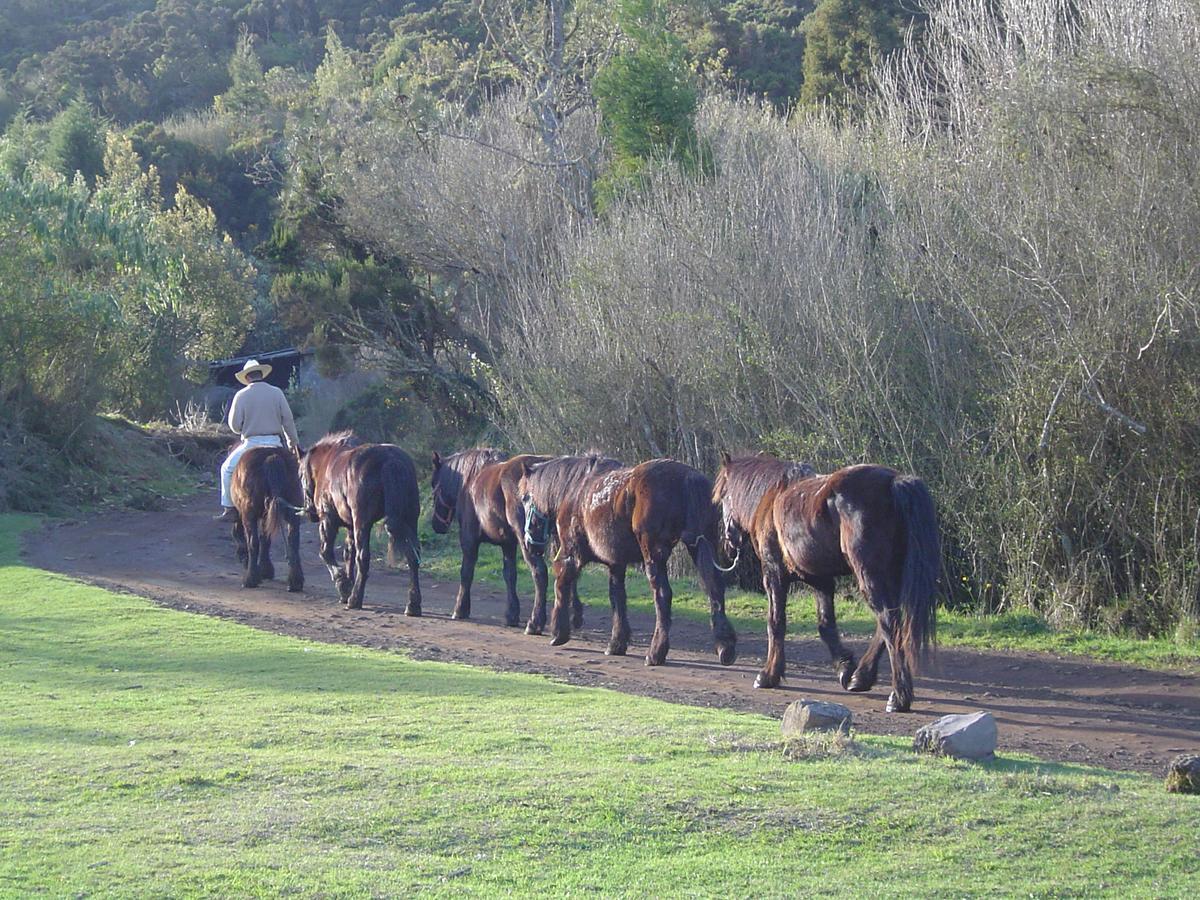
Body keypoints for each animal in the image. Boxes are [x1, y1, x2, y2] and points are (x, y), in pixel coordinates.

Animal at [229, 448, 304, 595]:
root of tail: (271, 457)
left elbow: (258, 541)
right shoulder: (266, 516)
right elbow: (266, 539)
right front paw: (266, 570)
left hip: (249, 515)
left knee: (253, 542)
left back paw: (250, 579)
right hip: (292, 511)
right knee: (293, 542)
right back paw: (295, 582)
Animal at [300, 429, 422, 614]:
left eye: (300, 475)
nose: (310, 513)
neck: (328, 462)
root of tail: (391, 460)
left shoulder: (328, 520)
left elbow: (326, 552)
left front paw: (343, 586)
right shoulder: (350, 526)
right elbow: (348, 554)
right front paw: (347, 584)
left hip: (362, 523)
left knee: (363, 558)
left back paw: (355, 599)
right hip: (410, 519)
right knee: (413, 557)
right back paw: (413, 605)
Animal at [710, 453, 936, 715]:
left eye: (723, 496)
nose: (727, 543)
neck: (772, 496)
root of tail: (894, 481)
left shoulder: (773, 574)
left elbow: (775, 623)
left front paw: (768, 675)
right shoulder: (820, 580)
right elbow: (826, 625)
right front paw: (845, 666)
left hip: (870, 576)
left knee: (890, 624)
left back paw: (899, 697)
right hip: (889, 576)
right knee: (887, 623)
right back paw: (861, 678)